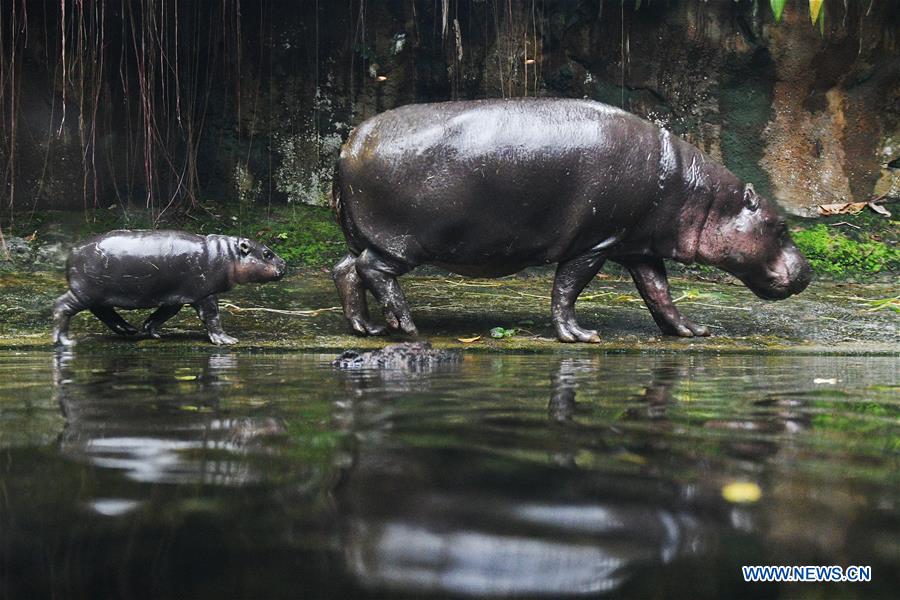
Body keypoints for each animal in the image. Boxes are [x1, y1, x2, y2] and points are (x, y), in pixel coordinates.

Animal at [52, 233, 284, 350]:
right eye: (267, 254)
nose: (284, 263)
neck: (228, 253)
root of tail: (72, 251)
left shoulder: (176, 295)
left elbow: (163, 314)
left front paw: (151, 331)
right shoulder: (205, 293)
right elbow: (212, 316)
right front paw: (227, 340)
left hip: (96, 293)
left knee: (102, 310)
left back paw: (128, 329)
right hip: (85, 292)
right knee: (62, 306)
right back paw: (64, 341)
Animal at [334, 98, 812, 342]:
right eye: (782, 227)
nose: (808, 272)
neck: (699, 194)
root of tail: (348, 143)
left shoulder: (636, 245)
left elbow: (659, 292)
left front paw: (692, 331)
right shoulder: (596, 241)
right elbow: (567, 288)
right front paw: (581, 336)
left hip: (370, 236)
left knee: (345, 269)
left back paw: (367, 328)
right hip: (405, 241)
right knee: (372, 270)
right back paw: (405, 325)